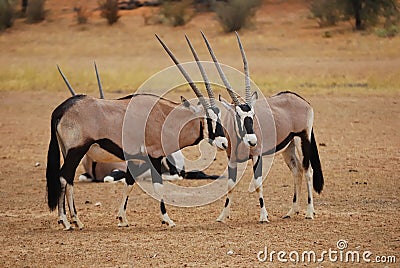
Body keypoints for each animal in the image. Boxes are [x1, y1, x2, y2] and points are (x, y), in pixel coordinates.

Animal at [46, 56, 228, 230]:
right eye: (208, 119)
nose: (224, 143)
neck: (164, 115)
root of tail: (61, 109)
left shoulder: (134, 158)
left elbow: (129, 183)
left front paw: (122, 219)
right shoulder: (154, 156)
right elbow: (158, 185)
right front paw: (167, 220)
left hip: (69, 152)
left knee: (69, 179)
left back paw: (76, 221)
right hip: (76, 151)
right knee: (64, 177)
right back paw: (67, 221)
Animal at [197, 31, 324, 222]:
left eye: (252, 116)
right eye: (238, 116)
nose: (252, 141)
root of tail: (302, 101)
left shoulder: (257, 155)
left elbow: (257, 183)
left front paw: (264, 216)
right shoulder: (232, 159)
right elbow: (230, 185)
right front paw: (222, 215)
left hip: (303, 139)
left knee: (307, 170)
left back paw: (309, 212)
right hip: (288, 146)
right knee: (297, 171)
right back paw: (291, 211)